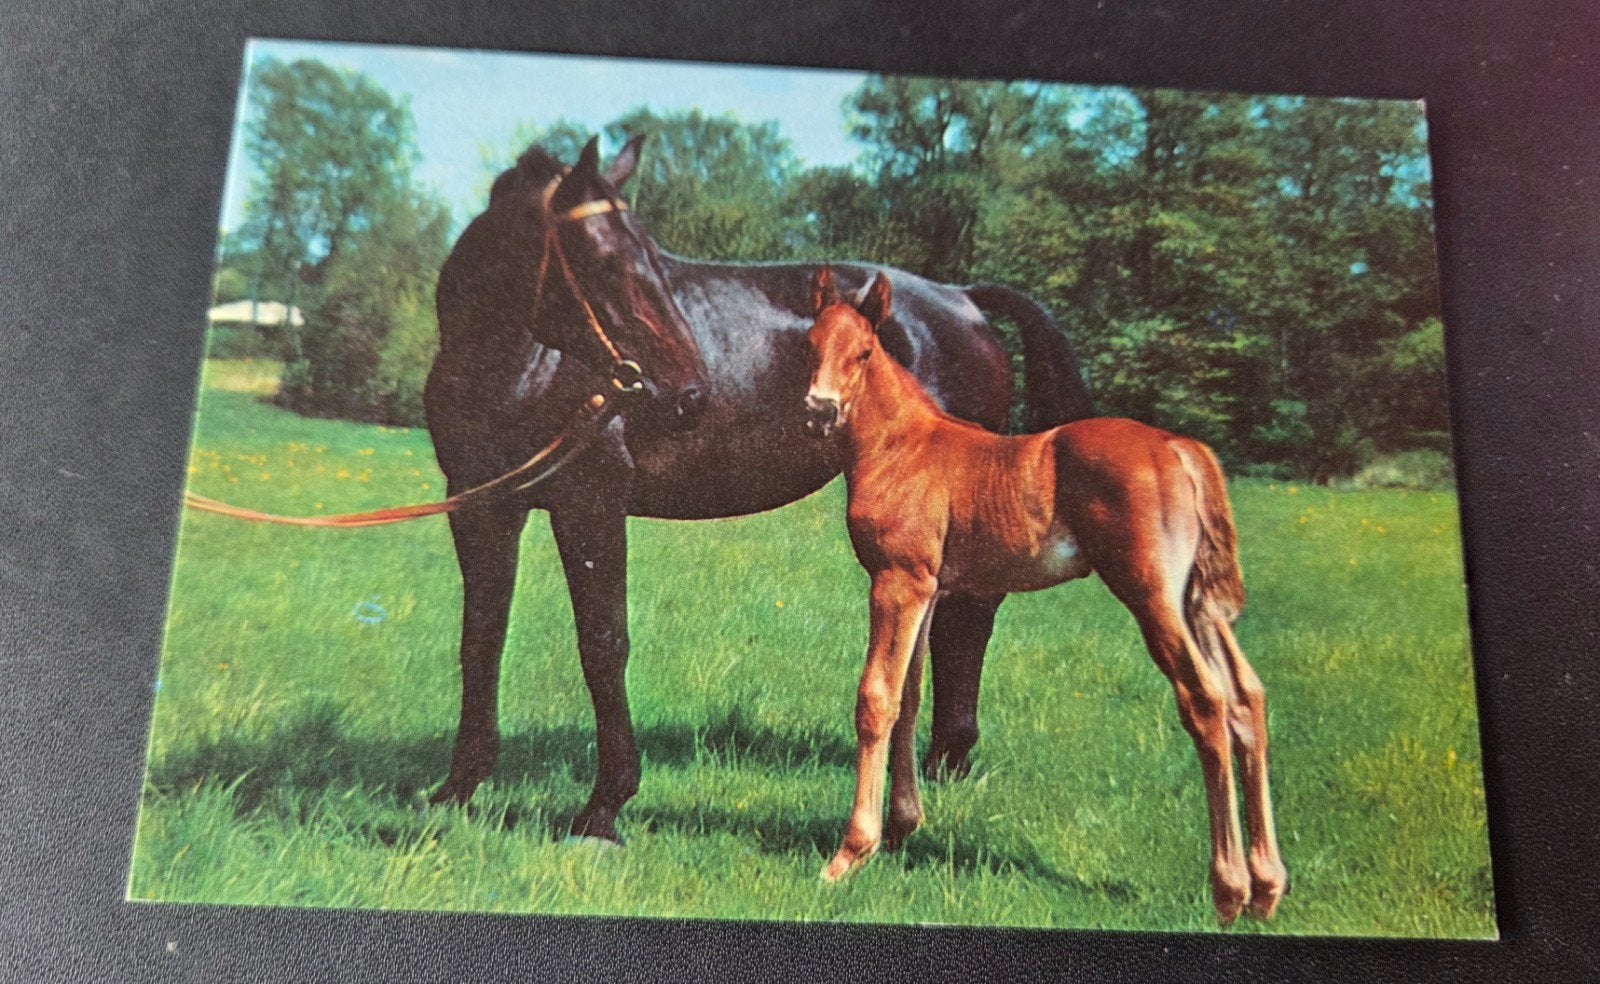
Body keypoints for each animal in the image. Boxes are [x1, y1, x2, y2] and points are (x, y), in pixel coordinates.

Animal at [424, 136, 1094, 845]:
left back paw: (945, 760)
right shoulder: (482, 505)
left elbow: (603, 644)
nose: (690, 391)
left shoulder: (589, 502)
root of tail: (961, 297)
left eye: (651, 257)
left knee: (969, 617)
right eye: (606, 263)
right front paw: (458, 787)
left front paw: (604, 807)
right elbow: (481, 637)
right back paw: (942, 761)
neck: (521, 361)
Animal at [802, 267, 1287, 925]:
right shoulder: (928, 587)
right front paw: (902, 829)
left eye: (865, 352)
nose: (819, 408)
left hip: (1152, 596)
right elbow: (910, 696)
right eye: (810, 346)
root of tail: (1180, 448)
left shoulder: (896, 580)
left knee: (1206, 701)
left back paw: (1229, 890)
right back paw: (1266, 887)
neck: (901, 445)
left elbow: (876, 698)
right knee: (1246, 698)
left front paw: (850, 854)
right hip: (1199, 605)